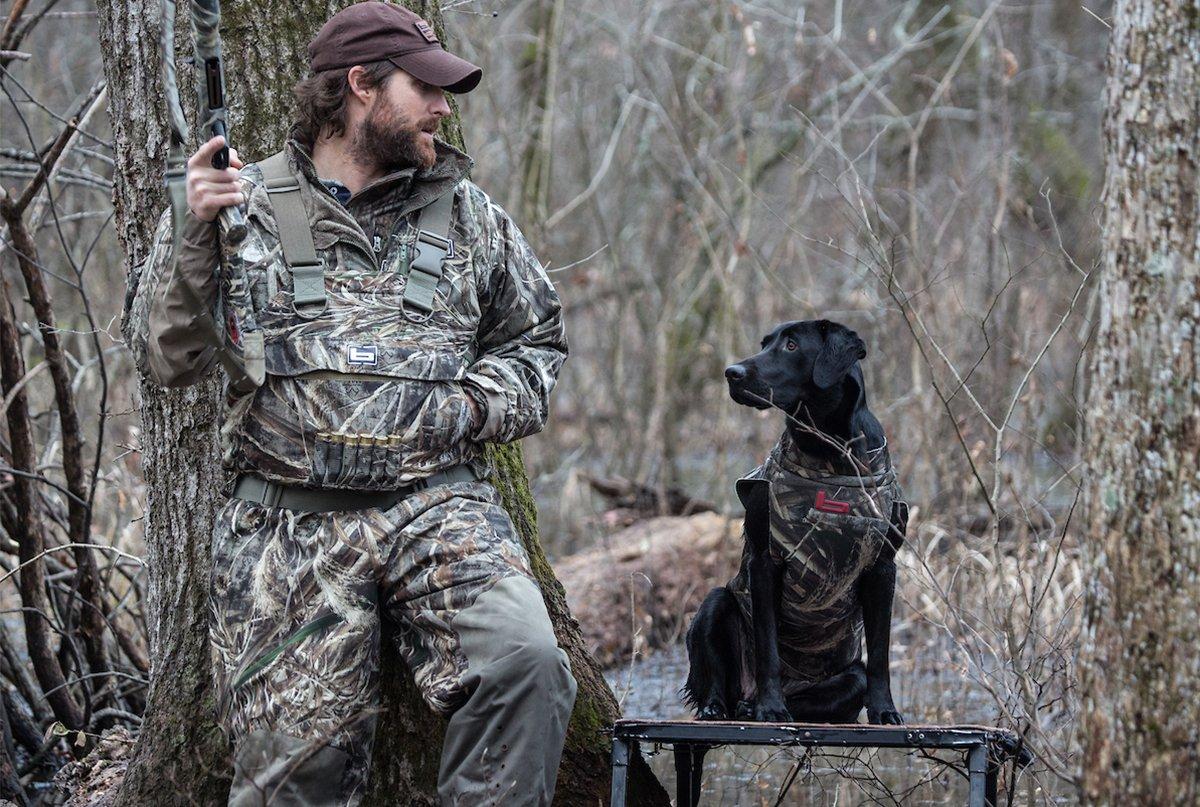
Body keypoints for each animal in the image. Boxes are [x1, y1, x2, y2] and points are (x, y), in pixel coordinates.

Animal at [681, 319, 902, 730]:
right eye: (764, 344)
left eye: (792, 345)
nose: (731, 372)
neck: (830, 451)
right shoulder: (765, 561)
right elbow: (767, 648)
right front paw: (771, 708)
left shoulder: (883, 568)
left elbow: (880, 654)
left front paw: (885, 710)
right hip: (716, 603)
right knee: (717, 681)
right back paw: (728, 706)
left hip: (850, 676)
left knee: (822, 697)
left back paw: (753, 708)